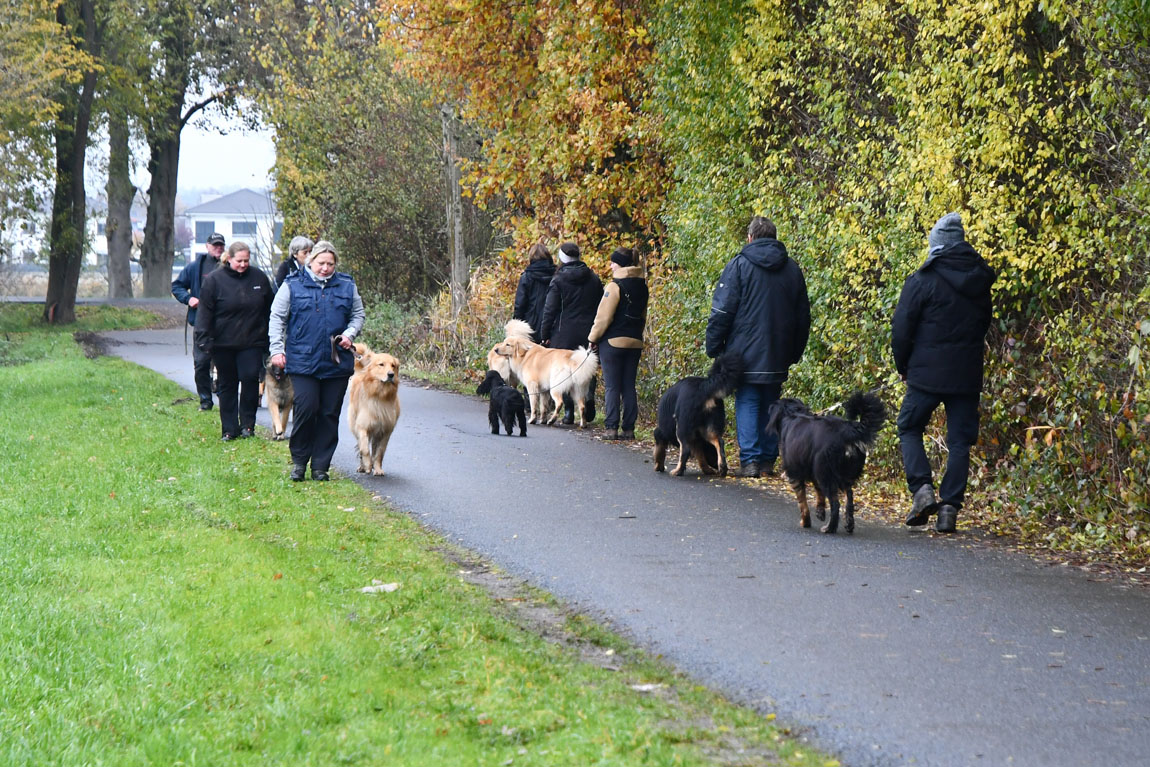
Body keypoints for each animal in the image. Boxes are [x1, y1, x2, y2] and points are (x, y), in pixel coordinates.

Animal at [345, 344, 400, 476]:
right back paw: (362, 466)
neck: (380, 395)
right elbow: (365, 449)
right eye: (381, 364)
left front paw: (378, 468)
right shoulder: (363, 427)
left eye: (393, 365)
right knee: (361, 446)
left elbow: (379, 452)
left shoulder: (385, 431)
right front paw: (368, 465)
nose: (391, 375)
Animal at [768, 390, 883, 533]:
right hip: (839, 474)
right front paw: (820, 511)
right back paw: (849, 524)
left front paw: (806, 521)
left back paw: (829, 528)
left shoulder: (795, 474)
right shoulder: (814, 471)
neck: (792, 413)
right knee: (849, 497)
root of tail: (849, 430)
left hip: (825, 473)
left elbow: (802, 502)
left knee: (835, 503)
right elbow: (819, 493)